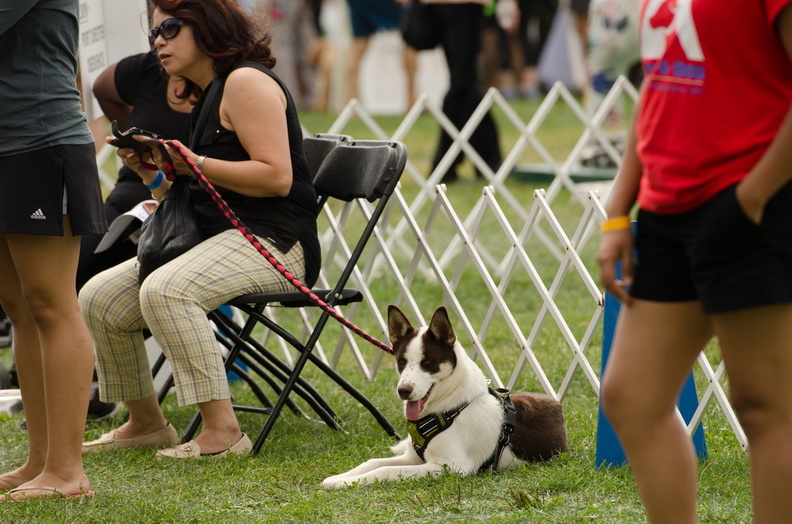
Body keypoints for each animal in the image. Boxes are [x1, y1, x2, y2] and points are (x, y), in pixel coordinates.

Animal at [322, 304, 568, 490]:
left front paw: (346, 482)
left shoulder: (450, 467)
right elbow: (372, 462)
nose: (403, 391)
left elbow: (385, 470)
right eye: (401, 361)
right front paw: (339, 479)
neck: (449, 408)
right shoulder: (413, 458)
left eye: (427, 363)